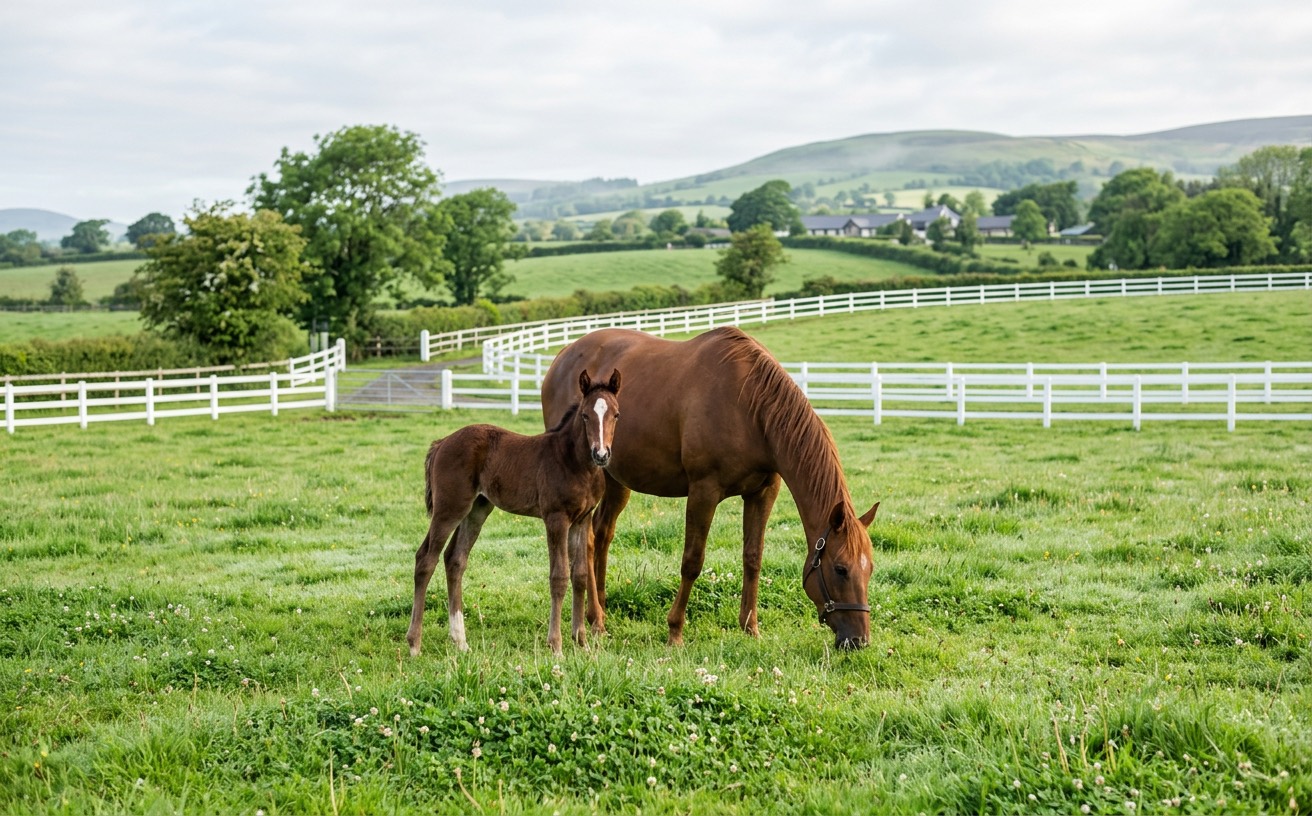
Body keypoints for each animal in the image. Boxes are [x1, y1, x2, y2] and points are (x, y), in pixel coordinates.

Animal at [406, 369, 622, 656]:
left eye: (616, 414)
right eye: (586, 415)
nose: (601, 454)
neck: (575, 462)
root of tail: (442, 442)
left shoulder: (582, 520)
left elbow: (580, 576)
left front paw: (582, 642)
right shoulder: (556, 518)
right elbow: (559, 577)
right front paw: (556, 646)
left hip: (477, 510)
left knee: (455, 559)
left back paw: (461, 641)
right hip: (449, 508)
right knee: (426, 559)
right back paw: (414, 644)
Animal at [541, 327, 879, 650]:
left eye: (870, 569)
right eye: (840, 569)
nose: (858, 640)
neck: (751, 408)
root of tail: (561, 358)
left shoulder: (763, 492)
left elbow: (753, 557)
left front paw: (750, 628)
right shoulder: (704, 491)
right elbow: (692, 562)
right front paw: (675, 631)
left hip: (616, 480)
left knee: (601, 534)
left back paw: (598, 613)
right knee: (587, 540)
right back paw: (595, 619)